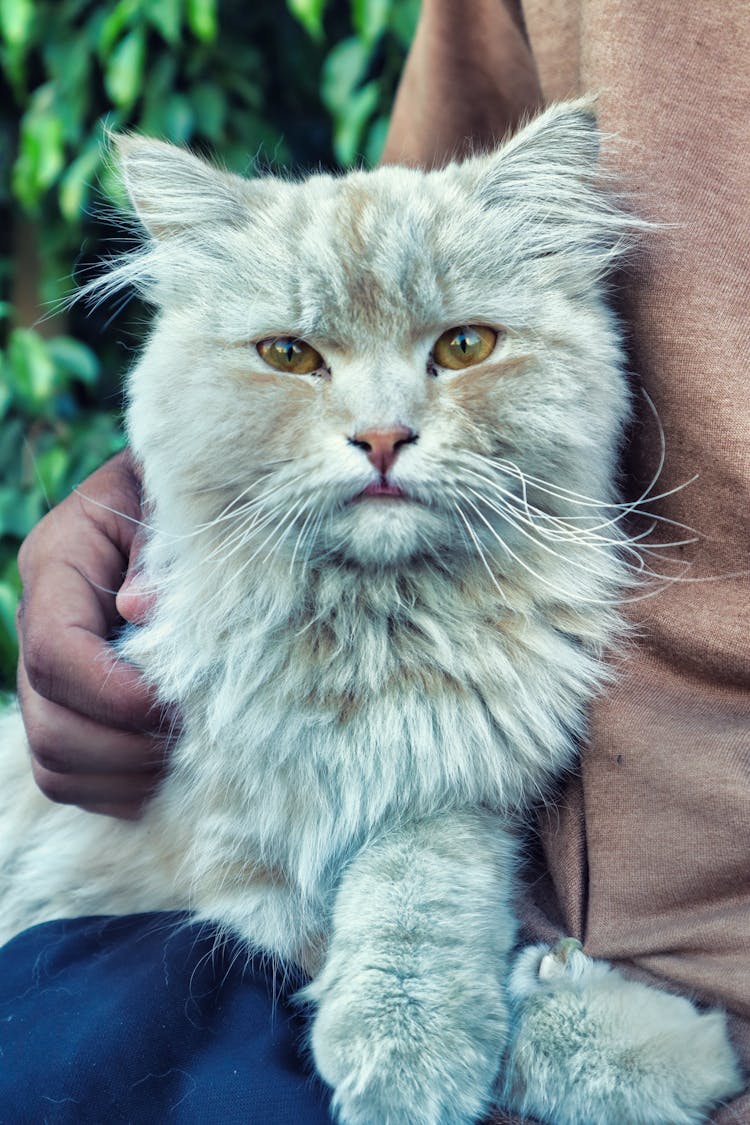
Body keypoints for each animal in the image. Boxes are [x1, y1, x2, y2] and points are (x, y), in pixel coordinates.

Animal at [0, 101, 737, 1120]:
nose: (383, 437)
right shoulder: (244, 864)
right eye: (289, 356)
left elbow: (418, 890)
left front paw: (580, 1034)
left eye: (464, 347)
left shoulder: (455, 779)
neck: (378, 631)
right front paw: (430, 1049)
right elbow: (374, 947)